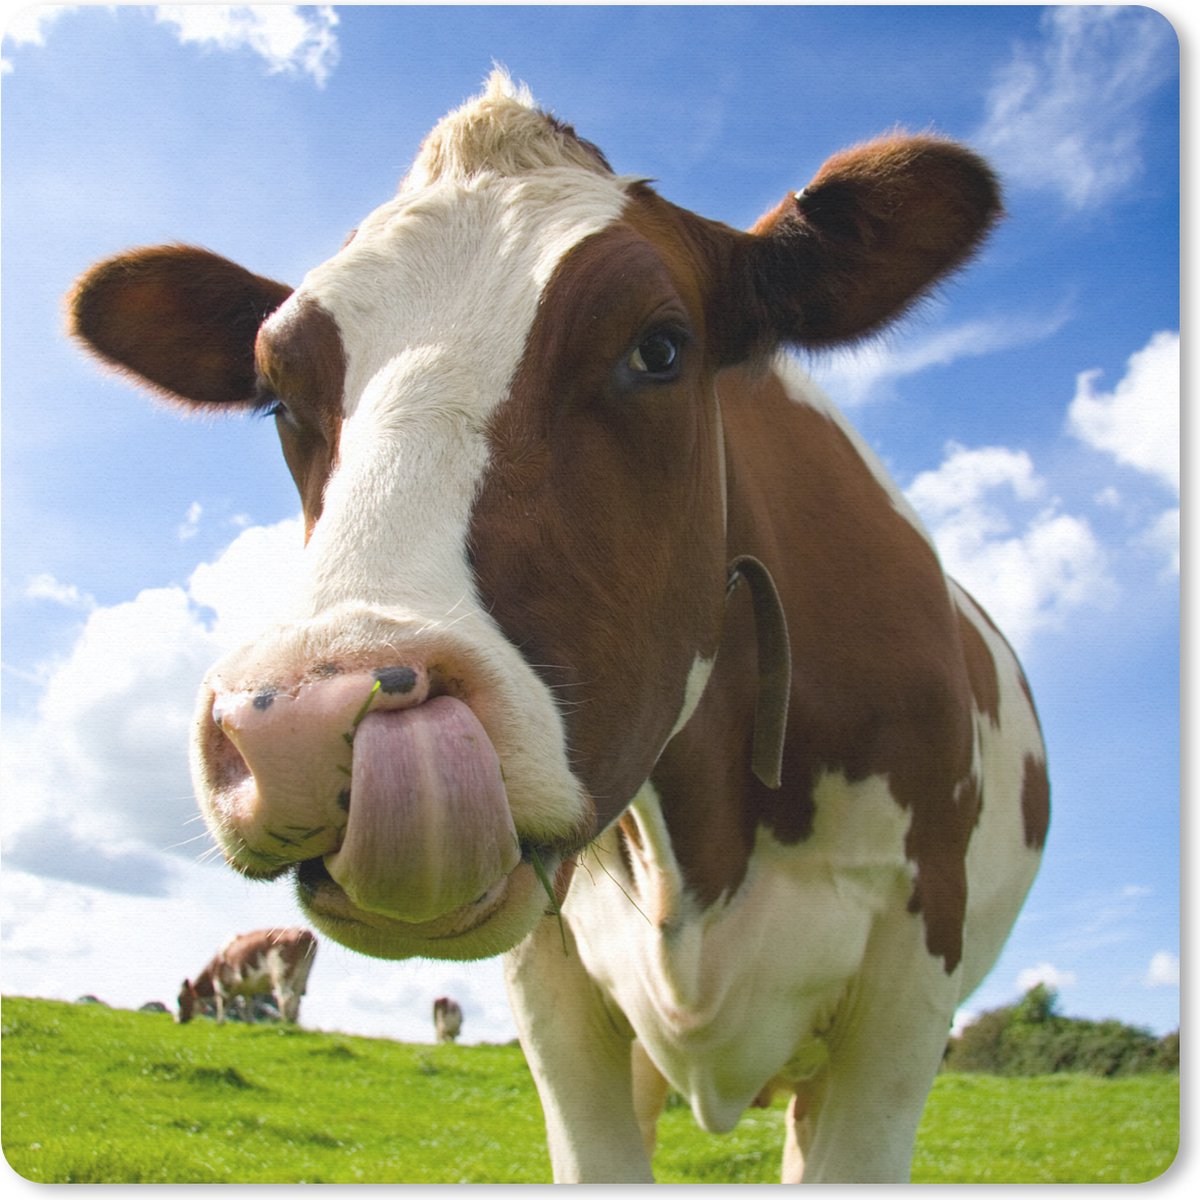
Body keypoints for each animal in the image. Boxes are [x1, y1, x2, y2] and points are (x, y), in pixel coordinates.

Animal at [176, 928, 317, 1025]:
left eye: (179, 999)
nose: (178, 1020)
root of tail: (306, 932)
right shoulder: (248, 987)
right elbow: (247, 1005)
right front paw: (250, 1022)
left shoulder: (222, 983)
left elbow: (222, 1002)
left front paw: (220, 1023)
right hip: (302, 976)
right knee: (297, 999)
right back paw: (293, 1023)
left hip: (281, 974)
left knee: (285, 997)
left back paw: (284, 1024)